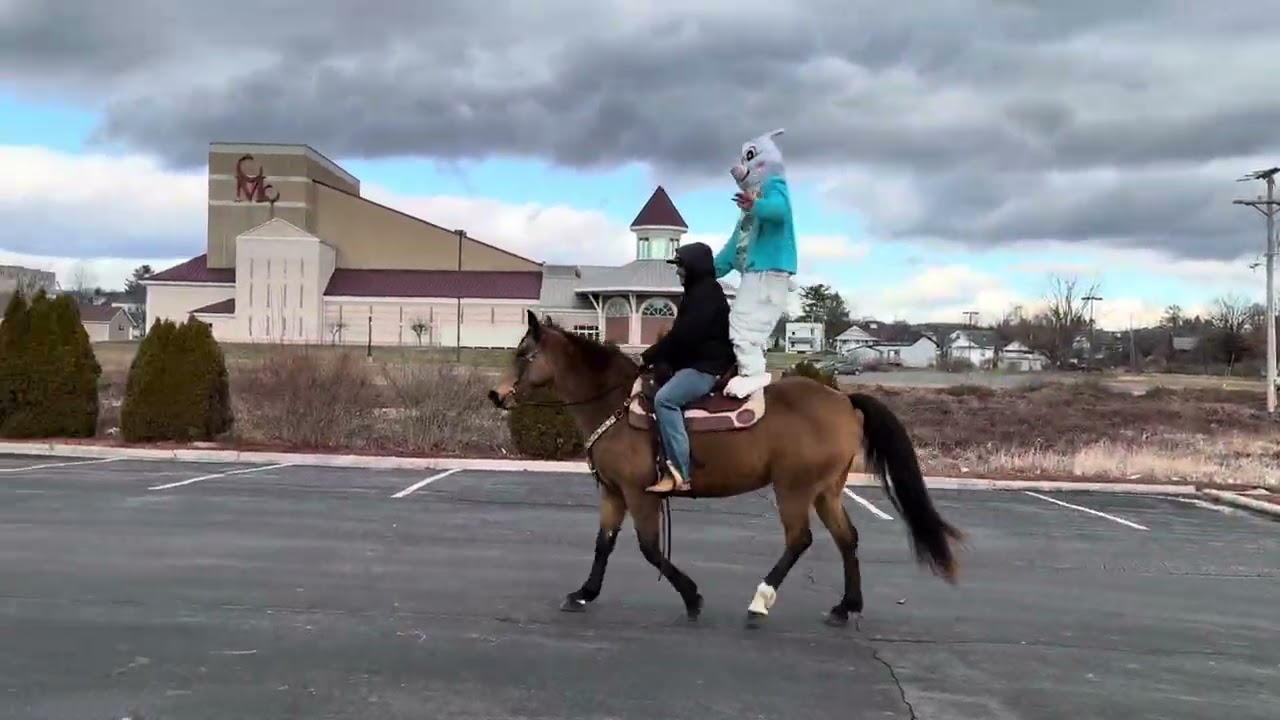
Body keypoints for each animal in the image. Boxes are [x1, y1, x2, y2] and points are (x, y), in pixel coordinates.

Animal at [487, 310, 965, 629]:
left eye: (525, 354)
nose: (496, 394)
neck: (615, 405)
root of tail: (844, 400)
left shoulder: (639, 494)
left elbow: (649, 548)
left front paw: (692, 597)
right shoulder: (612, 492)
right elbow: (604, 544)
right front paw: (584, 593)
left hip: (794, 489)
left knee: (800, 540)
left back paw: (760, 602)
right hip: (826, 490)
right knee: (847, 539)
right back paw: (846, 607)